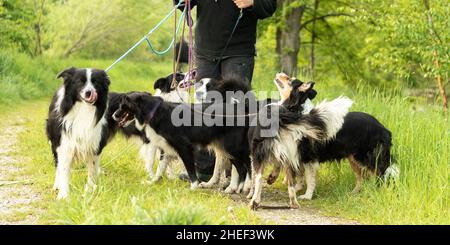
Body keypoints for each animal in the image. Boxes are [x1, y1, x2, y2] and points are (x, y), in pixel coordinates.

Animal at [46, 67, 111, 199]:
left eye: (95, 82)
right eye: (80, 82)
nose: (89, 93)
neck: (84, 109)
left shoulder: (95, 146)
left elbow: (92, 170)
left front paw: (90, 190)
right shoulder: (65, 145)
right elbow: (64, 170)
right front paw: (64, 195)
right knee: (58, 165)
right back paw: (57, 185)